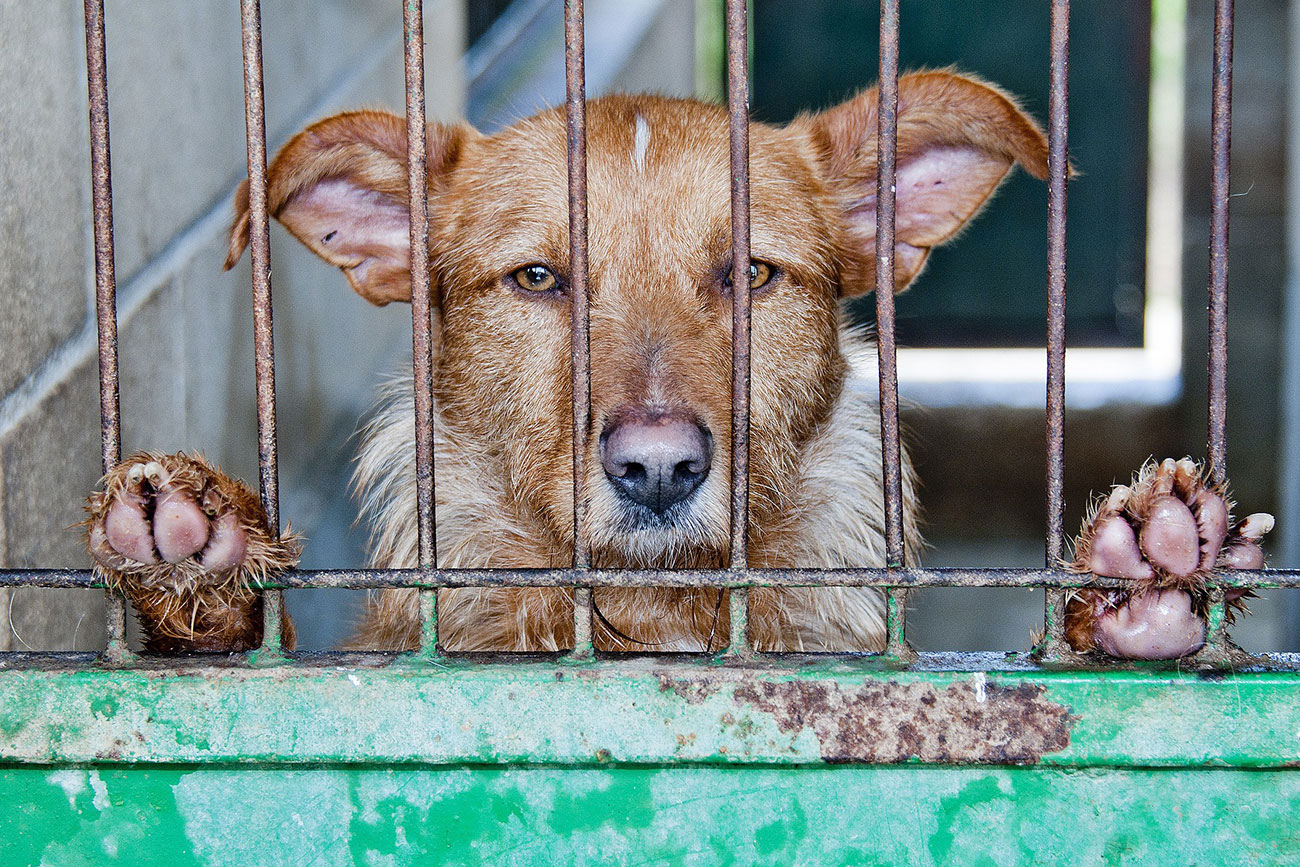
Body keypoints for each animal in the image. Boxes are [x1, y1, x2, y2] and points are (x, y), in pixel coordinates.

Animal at [81, 72, 1268, 657]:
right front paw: (200, 562)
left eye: (750, 273)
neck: (654, 618)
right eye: (538, 279)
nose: (657, 469)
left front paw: (1131, 590)